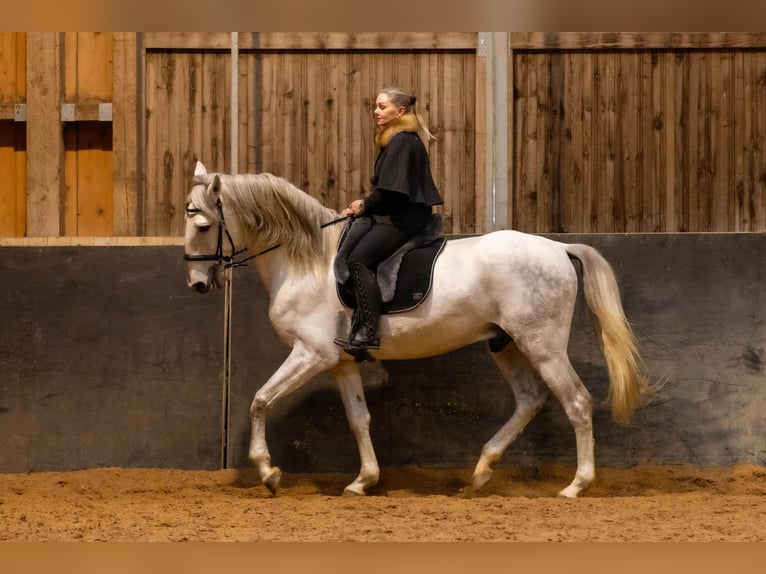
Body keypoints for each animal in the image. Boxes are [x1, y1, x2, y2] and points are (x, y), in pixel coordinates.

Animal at [183, 162, 652, 500]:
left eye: (203, 225)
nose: (197, 284)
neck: (308, 261)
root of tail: (558, 247)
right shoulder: (340, 362)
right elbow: (358, 419)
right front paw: (363, 481)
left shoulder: (310, 353)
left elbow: (260, 400)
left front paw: (268, 472)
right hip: (506, 345)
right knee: (530, 399)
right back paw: (482, 471)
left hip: (544, 346)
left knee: (576, 402)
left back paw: (576, 485)